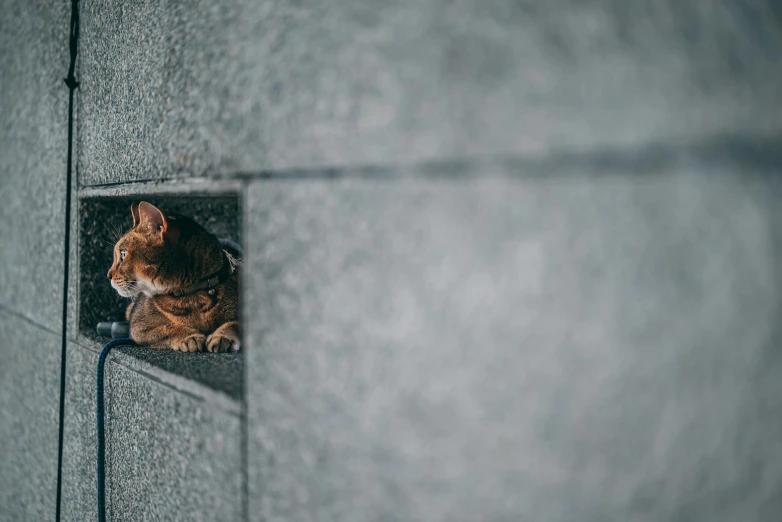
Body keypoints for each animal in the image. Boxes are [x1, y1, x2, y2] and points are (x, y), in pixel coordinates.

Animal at [107, 201, 242, 352]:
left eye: (123, 254)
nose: (108, 275)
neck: (191, 296)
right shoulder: (139, 326)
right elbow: (167, 328)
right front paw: (190, 337)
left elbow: (236, 323)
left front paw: (222, 336)